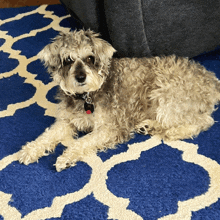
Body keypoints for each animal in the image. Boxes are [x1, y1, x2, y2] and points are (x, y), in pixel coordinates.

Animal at [18, 29, 220, 172]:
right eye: (68, 60)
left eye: (90, 58)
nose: (81, 77)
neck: (86, 96)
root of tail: (211, 79)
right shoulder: (66, 121)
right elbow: (47, 135)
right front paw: (30, 150)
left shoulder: (110, 128)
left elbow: (83, 142)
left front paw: (66, 158)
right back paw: (148, 126)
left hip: (167, 98)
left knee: (203, 120)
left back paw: (173, 131)